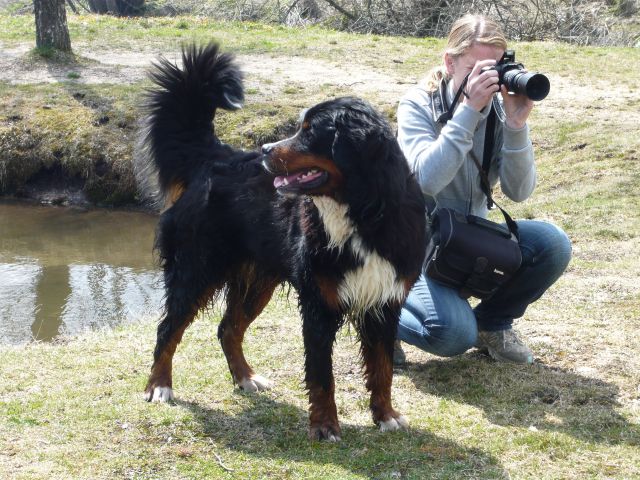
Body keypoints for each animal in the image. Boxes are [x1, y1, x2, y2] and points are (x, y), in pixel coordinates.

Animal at [142, 43, 428, 440]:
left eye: (309, 133)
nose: (265, 149)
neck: (363, 214)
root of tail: (218, 155)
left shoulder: (385, 302)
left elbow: (382, 368)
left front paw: (385, 415)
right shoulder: (320, 303)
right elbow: (322, 376)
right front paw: (325, 426)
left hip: (257, 279)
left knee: (228, 329)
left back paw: (245, 378)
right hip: (195, 269)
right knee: (168, 328)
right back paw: (159, 385)